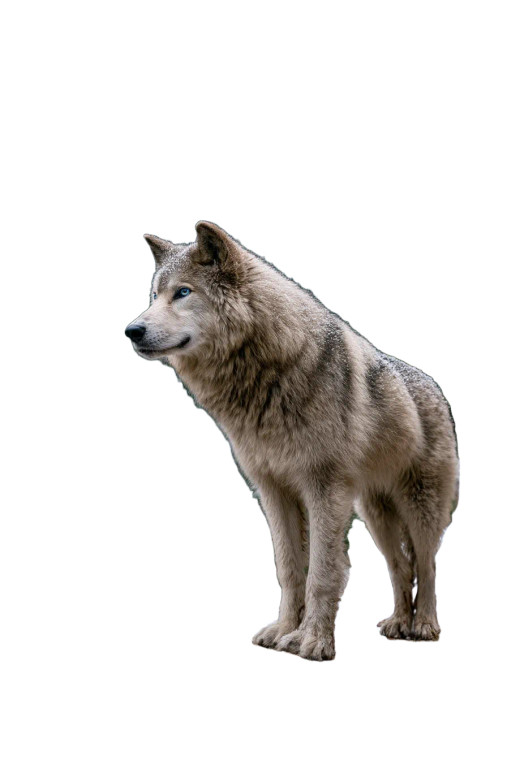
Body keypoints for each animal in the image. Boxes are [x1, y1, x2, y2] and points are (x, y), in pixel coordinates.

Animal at [125, 221, 459, 661]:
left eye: (182, 292)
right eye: (153, 296)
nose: (131, 330)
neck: (266, 372)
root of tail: (435, 386)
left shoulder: (324, 489)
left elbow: (322, 572)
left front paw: (313, 641)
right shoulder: (272, 490)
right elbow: (288, 568)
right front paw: (285, 630)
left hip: (419, 509)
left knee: (427, 564)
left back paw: (424, 625)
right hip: (376, 516)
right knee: (400, 567)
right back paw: (399, 623)